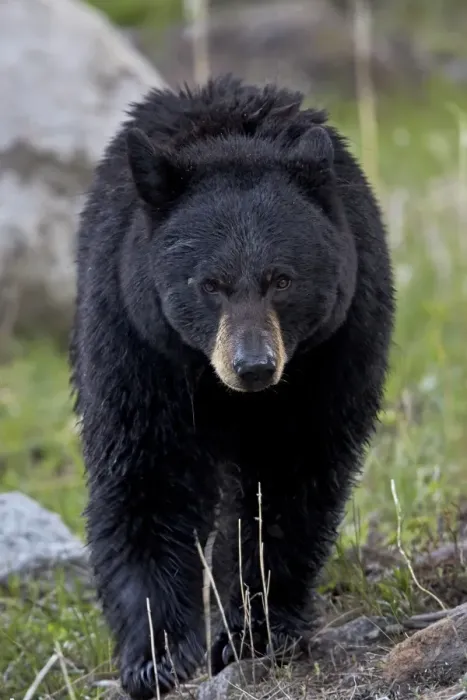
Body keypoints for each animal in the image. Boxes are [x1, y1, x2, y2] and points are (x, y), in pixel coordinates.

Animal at [69, 74, 395, 700]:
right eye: (209, 284)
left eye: (282, 280)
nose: (254, 366)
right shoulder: (135, 342)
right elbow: (147, 473)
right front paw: (156, 656)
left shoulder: (333, 352)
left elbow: (289, 484)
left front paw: (255, 631)